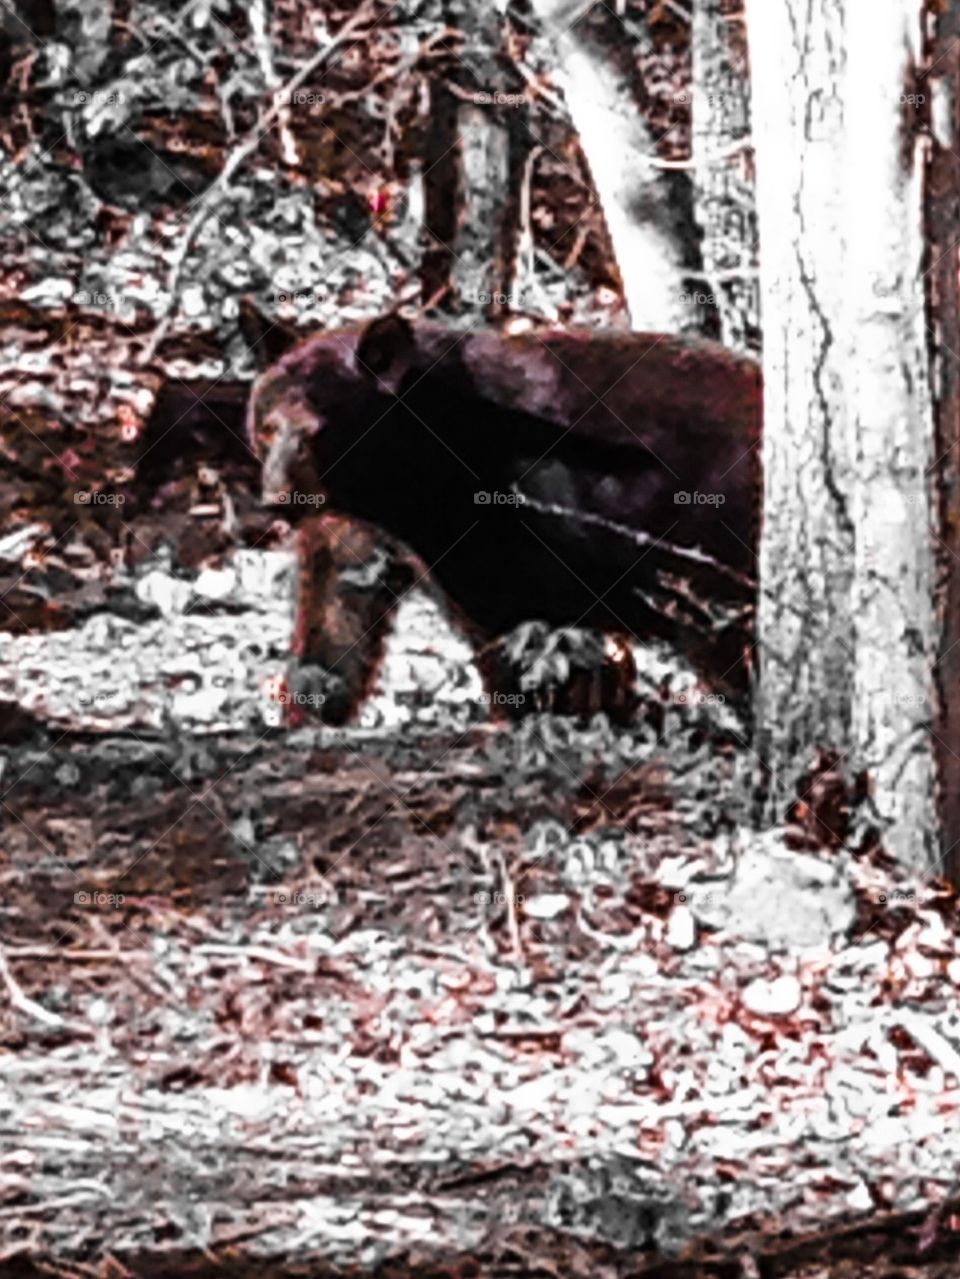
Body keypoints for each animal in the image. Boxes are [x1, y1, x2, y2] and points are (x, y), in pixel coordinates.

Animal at [247, 313, 761, 724]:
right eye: (268, 426)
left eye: (317, 430)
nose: (278, 498)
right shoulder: (353, 523)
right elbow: (335, 611)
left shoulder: (506, 529)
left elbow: (515, 631)